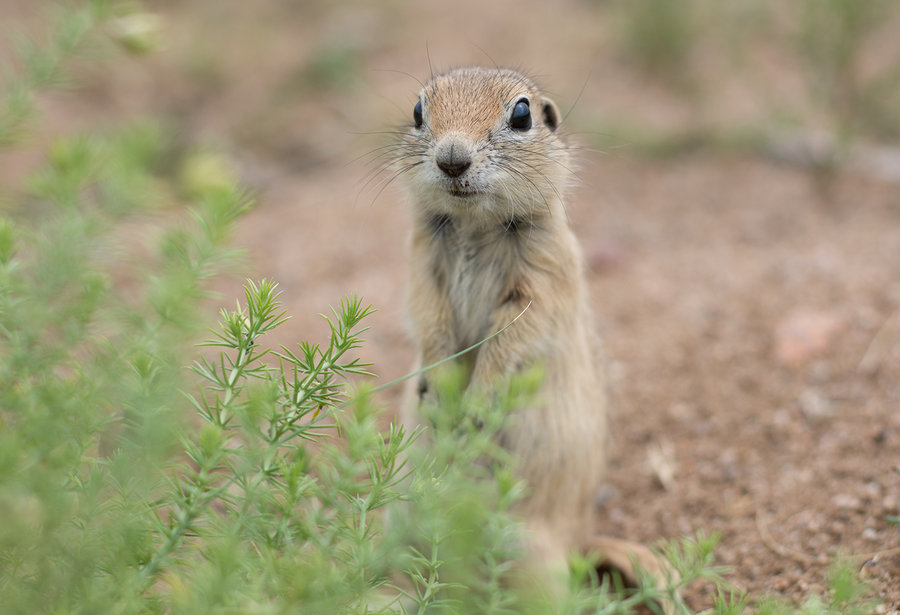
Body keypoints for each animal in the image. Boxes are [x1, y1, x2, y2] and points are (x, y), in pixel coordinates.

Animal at [394, 66, 668, 600]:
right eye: (417, 111)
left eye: (522, 115)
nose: (451, 158)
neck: (473, 224)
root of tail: (581, 540)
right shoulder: (419, 261)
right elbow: (427, 314)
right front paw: (438, 388)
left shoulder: (542, 275)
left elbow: (513, 339)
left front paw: (476, 407)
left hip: (530, 551)